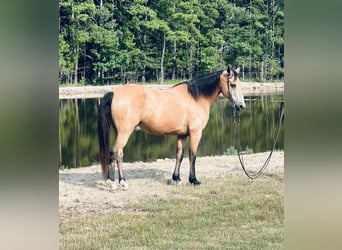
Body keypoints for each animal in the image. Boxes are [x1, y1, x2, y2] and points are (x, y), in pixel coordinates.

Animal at [97, 66, 244, 189]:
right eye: (233, 85)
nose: (241, 106)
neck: (196, 98)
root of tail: (114, 93)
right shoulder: (195, 133)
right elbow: (193, 156)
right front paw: (194, 180)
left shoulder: (182, 134)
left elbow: (179, 155)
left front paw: (176, 178)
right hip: (124, 133)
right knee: (116, 153)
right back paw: (119, 182)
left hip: (119, 132)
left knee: (115, 153)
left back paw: (114, 181)